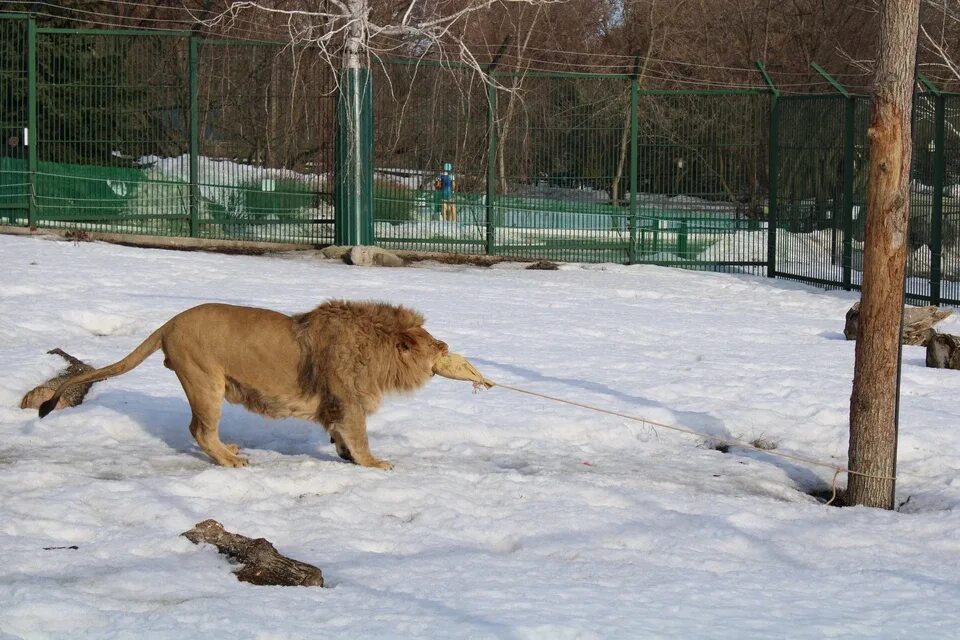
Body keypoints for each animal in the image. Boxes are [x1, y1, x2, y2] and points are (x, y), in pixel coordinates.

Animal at [39, 300, 452, 470]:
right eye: (433, 342)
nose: (447, 346)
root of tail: (169, 323)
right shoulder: (347, 400)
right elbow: (360, 436)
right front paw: (375, 463)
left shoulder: (338, 404)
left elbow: (341, 434)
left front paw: (345, 454)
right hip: (206, 382)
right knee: (200, 430)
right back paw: (231, 460)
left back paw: (230, 449)